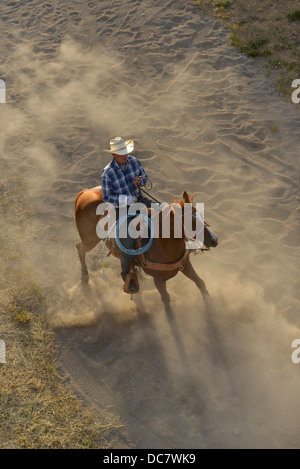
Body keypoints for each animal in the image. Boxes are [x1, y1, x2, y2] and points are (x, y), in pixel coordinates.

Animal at [74, 186, 218, 310]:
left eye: (201, 215)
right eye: (191, 221)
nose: (214, 239)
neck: (164, 243)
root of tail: (85, 192)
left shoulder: (185, 264)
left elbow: (201, 283)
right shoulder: (158, 279)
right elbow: (166, 299)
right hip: (90, 240)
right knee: (80, 248)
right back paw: (85, 278)